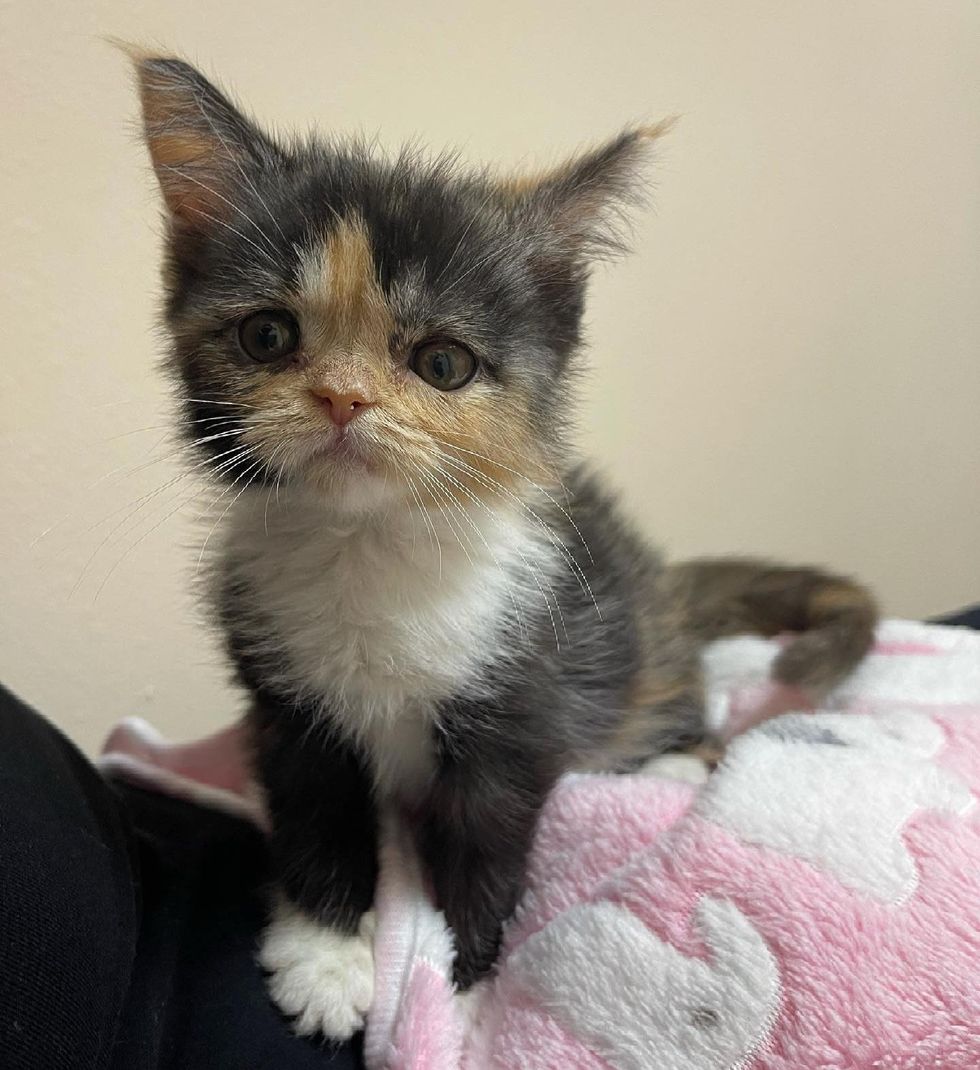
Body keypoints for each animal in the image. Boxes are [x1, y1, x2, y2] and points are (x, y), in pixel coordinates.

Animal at [132, 54, 881, 1040]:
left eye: (443, 363)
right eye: (267, 335)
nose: (341, 398)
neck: (372, 542)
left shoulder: (528, 692)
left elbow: (488, 843)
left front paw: (467, 984)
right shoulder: (283, 697)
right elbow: (313, 811)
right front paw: (326, 955)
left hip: (629, 639)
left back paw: (671, 758)